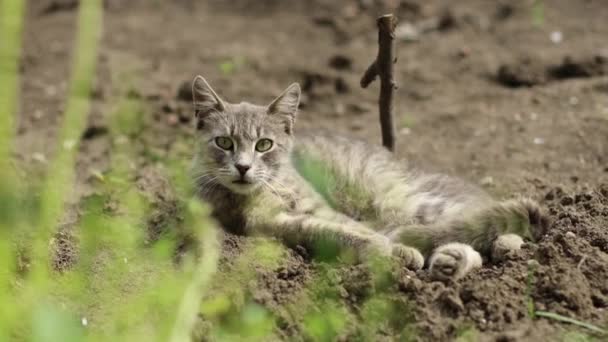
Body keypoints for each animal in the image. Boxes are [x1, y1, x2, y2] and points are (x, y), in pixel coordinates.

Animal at [190, 75, 552, 280]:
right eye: (224, 142)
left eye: (264, 144)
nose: (242, 167)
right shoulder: (276, 224)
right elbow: (342, 234)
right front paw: (393, 252)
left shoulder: (320, 209)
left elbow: (356, 229)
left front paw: (396, 249)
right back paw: (451, 260)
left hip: (408, 201)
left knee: (478, 217)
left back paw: (496, 245)